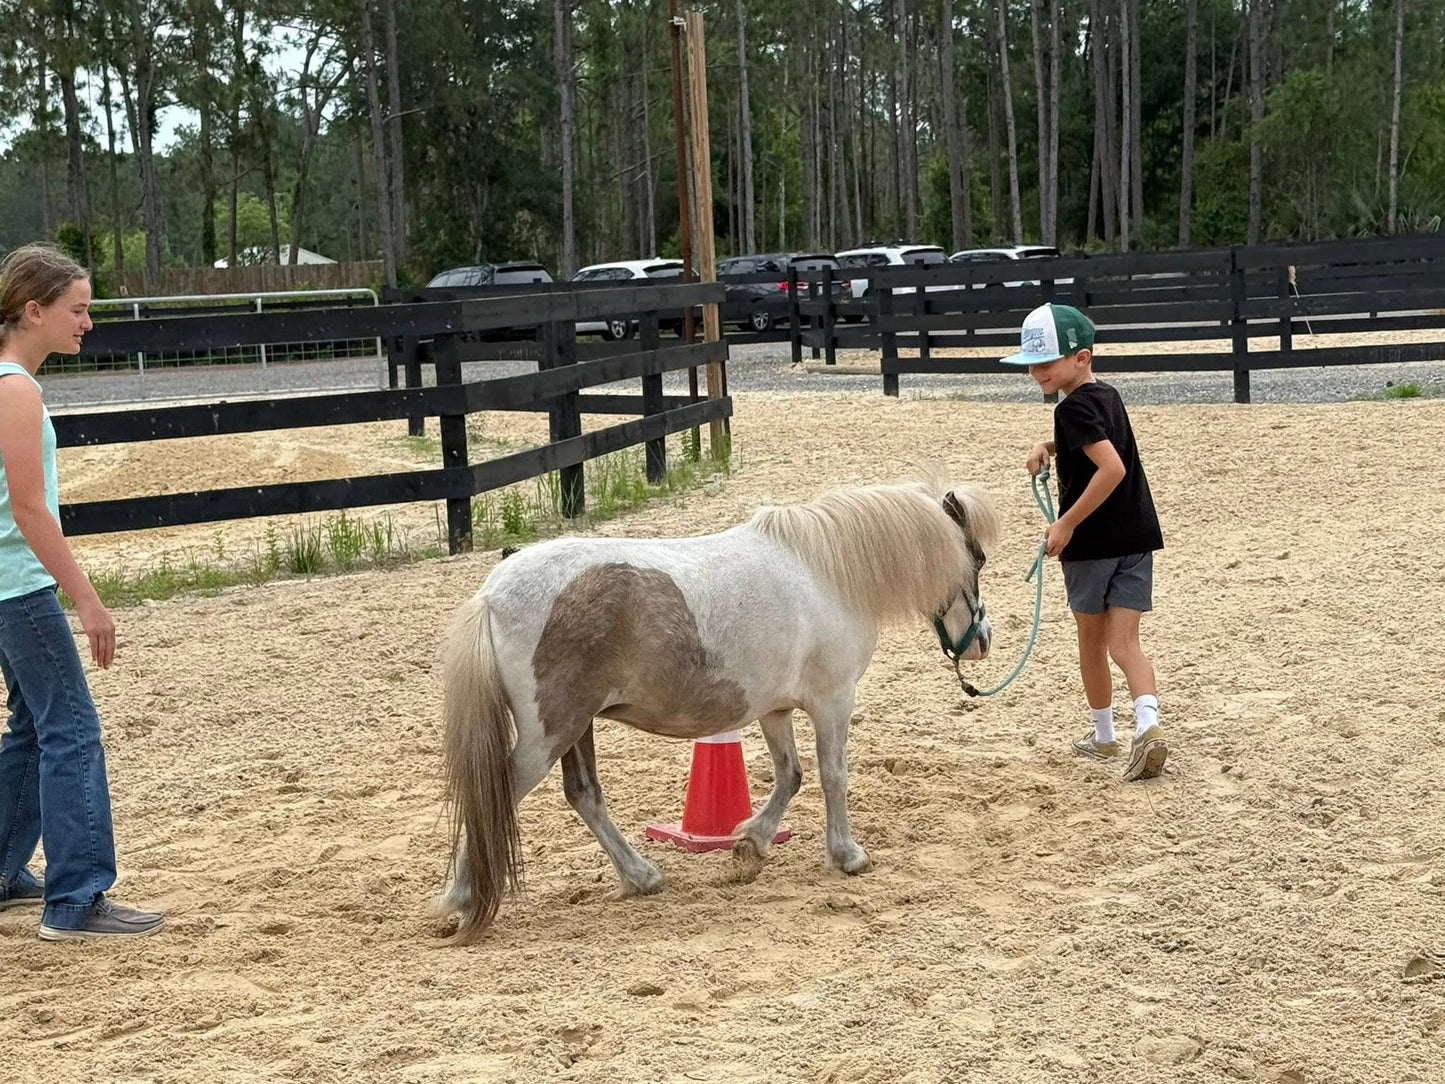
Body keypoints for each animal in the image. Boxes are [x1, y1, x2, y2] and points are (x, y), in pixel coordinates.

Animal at [434, 478, 1001, 942]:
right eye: (975, 559)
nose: (981, 642)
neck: (826, 571)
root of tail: (491, 595)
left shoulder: (775, 709)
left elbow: (791, 775)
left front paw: (752, 841)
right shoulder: (833, 701)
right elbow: (833, 775)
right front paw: (846, 855)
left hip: (575, 729)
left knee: (585, 796)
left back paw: (640, 876)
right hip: (549, 734)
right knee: (497, 795)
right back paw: (464, 898)